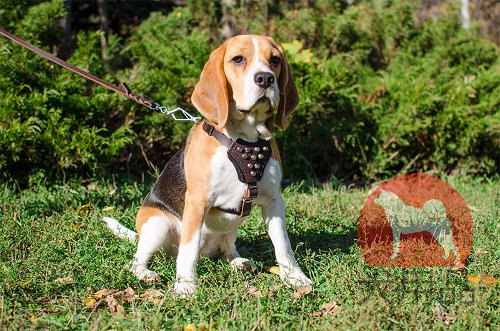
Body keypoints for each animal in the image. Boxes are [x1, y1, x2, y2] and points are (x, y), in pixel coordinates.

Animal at [103, 35, 310, 296]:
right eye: (238, 59)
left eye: (274, 60)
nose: (265, 78)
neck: (244, 139)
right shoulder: (197, 201)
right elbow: (188, 249)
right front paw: (185, 285)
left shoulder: (274, 200)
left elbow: (283, 244)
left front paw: (294, 277)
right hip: (157, 225)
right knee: (139, 260)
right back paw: (145, 273)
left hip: (232, 226)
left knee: (227, 249)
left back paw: (239, 261)